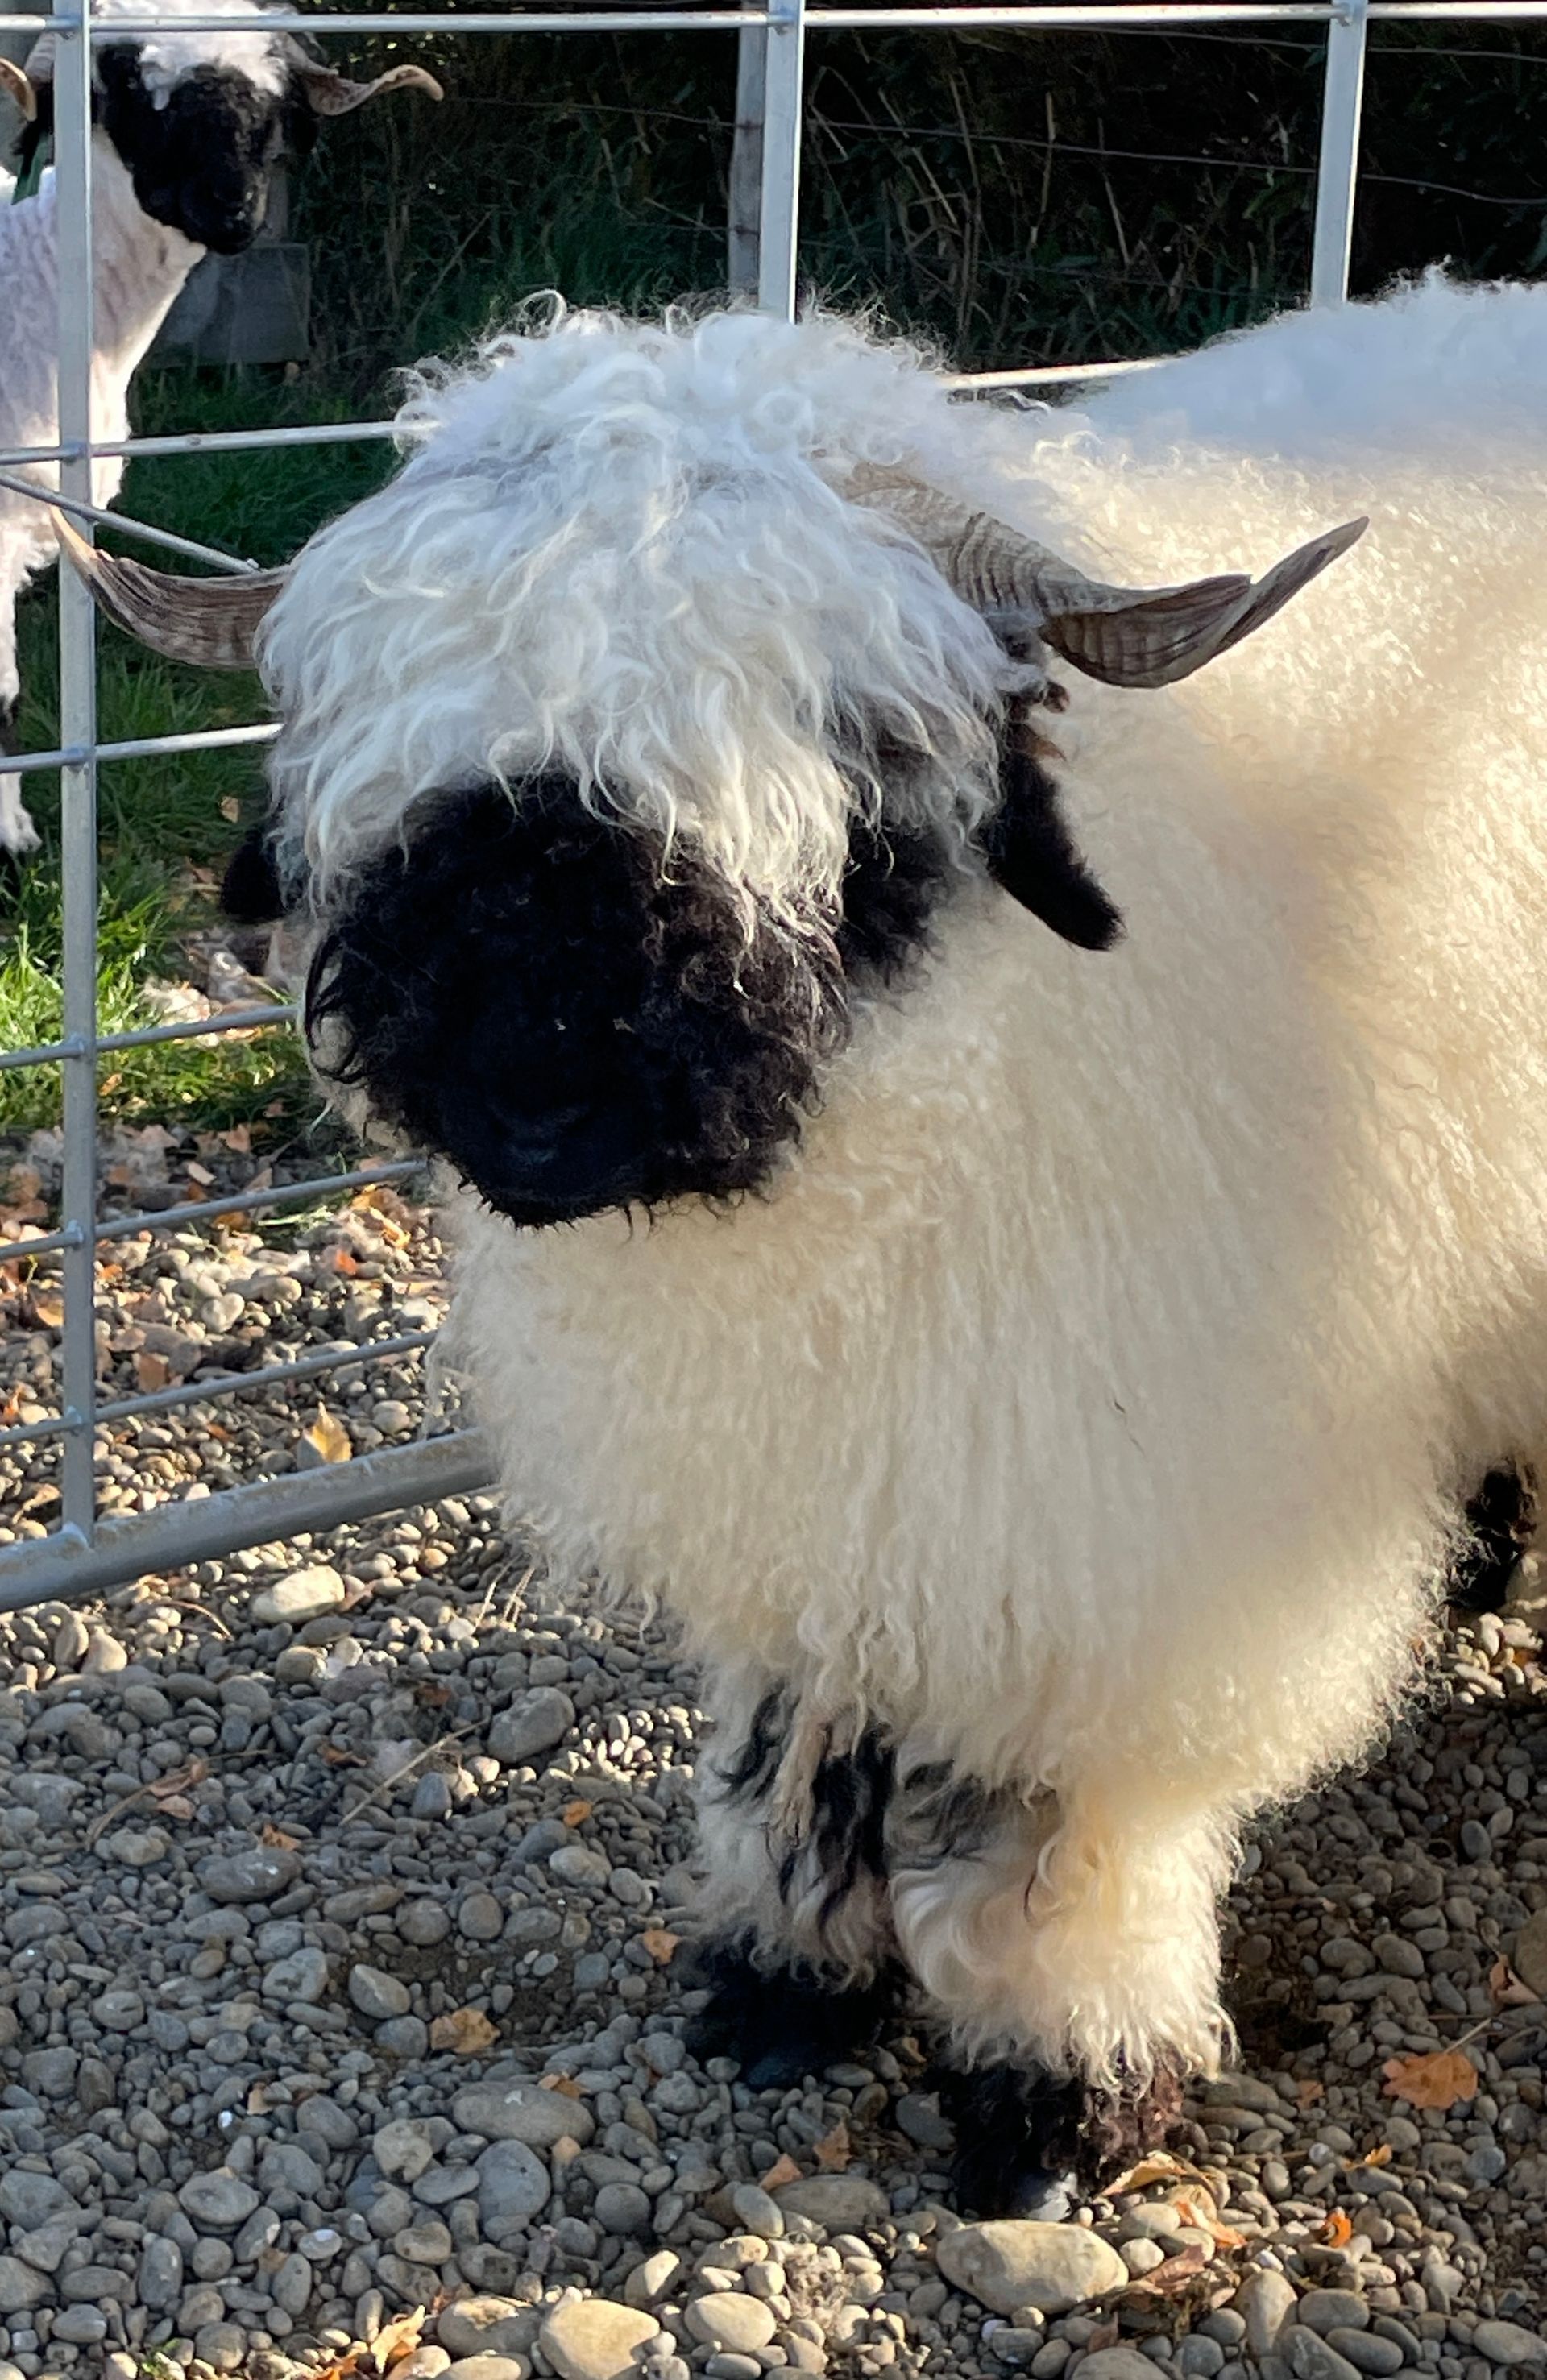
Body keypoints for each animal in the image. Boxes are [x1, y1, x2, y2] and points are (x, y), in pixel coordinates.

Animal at [60, 278, 1542, 2208]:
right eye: (404, 764)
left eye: (853, 763)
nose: (534, 1081)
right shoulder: (830, 1483)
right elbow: (803, 1731)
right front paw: (786, 1980)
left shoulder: (1122, 1532)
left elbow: (1064, 1821)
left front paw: (1063, 2081)